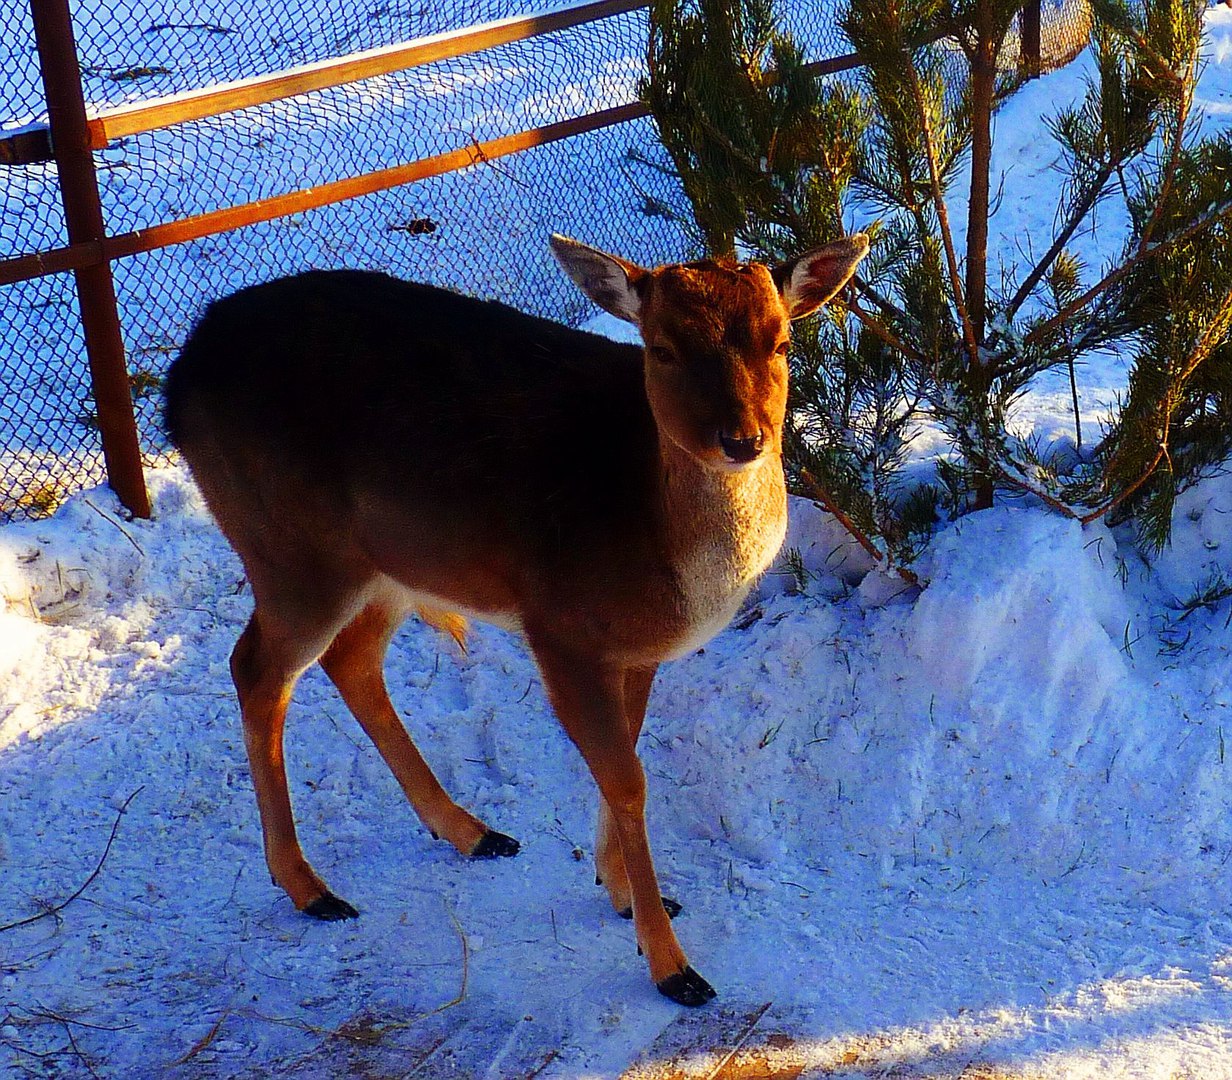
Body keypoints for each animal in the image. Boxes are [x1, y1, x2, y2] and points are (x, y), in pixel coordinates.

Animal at [166, 231, 867, 1004]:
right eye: (661, 347)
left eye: (780, 340)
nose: (742, 439)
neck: (658, 544)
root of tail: (177, 381)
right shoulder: (560, 625)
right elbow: (628, 778)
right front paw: (673, 967)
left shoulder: (633, 650)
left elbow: (625, 760)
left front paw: (623, 895)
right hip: (290, 548)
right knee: (256, 668)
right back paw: (312, 889)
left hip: (390, 565)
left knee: (350, 659)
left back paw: (471, 832)